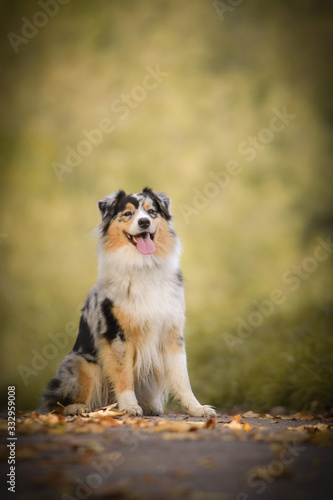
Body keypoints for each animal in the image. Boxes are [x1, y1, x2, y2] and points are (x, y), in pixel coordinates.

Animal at [39, 188, 215, 418]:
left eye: (151, 212)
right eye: (128, 214)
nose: (144, 222)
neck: (144, 266)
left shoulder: (172, 333)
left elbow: (182, 378)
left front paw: (196, 408)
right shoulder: (117, 335)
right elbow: (124, 375)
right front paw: (130, 406)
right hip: (83, 364)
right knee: (54, 402)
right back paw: (79, 408)